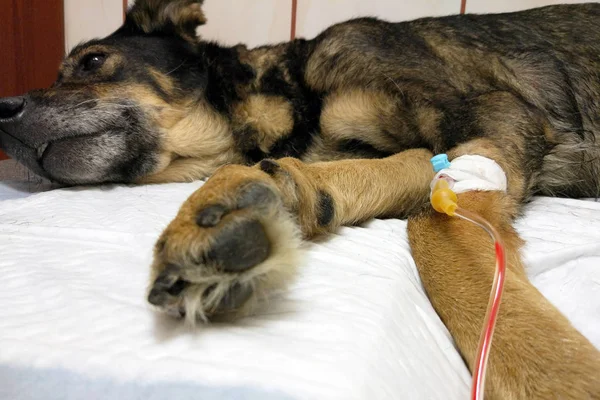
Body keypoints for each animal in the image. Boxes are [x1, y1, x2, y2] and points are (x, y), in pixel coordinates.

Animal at [1, 0, 600, 396]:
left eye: (92, 62)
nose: (2, 114)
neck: (291, 95)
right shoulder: (416, 150)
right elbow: (387, 175)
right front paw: (254, 199)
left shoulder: (499, 112)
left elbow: (432, 220)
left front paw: (551, 370)